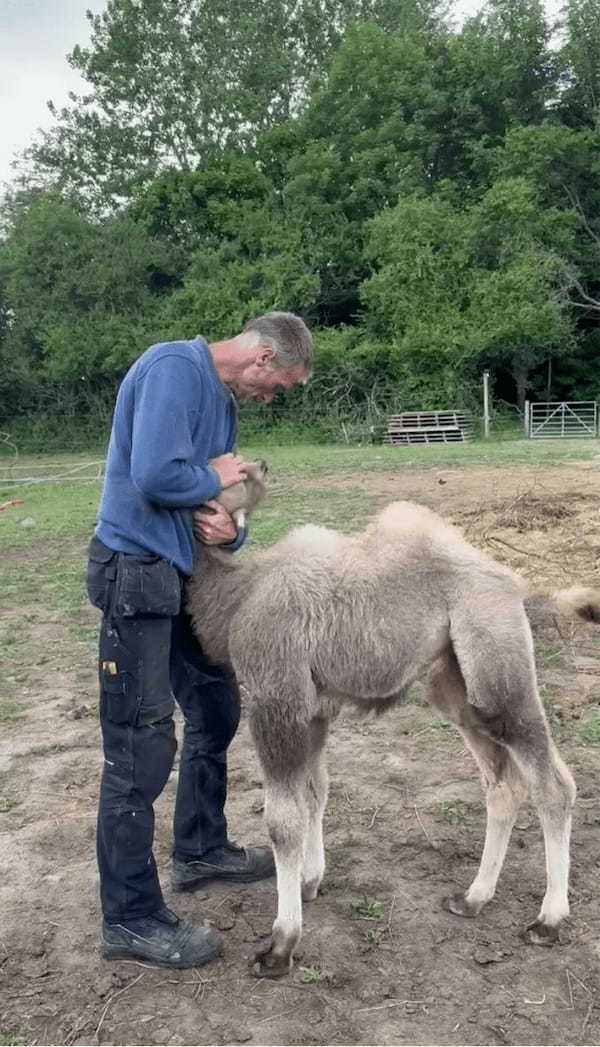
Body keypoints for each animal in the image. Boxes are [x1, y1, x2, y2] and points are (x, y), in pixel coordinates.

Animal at [188, 462, 594, 975]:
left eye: (231, 469)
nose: (261, 465)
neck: (239, 596)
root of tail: (515, 582)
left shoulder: (276, 699)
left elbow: (283, 819)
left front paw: (280, 944)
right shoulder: (314, 711)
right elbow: (315, 793)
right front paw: (310, 881)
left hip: (498, 672)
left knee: (552, 784)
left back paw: (549, 920)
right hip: (454, 686)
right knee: (502, 785)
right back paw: (472, 898)